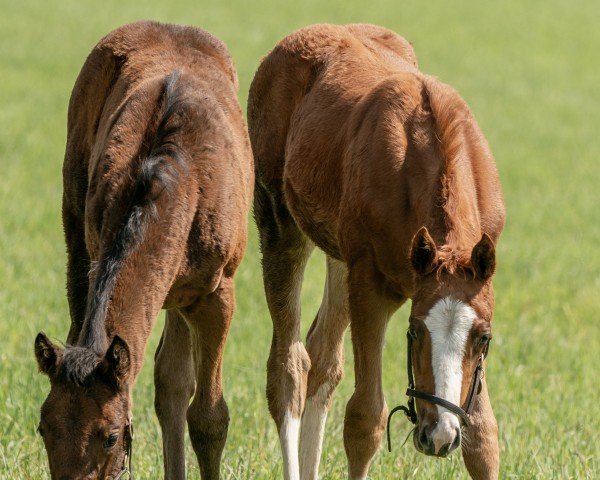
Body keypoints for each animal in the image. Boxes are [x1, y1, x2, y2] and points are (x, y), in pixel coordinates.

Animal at [32, 20, 253, 478]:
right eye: (43, 428)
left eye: (111, 435)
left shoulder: (217, 295)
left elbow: (209, 418)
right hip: (79, 246)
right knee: (168, 382)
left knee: (175, 384)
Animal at [248, 24, 506, 480]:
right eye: (414, 331)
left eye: (484, 337)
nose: (439, 435)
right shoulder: (371, 284)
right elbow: (364, 420)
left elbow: (484, 436)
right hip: (281, 226)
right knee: (289, 370)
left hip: (338, 256)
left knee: (322, 360)